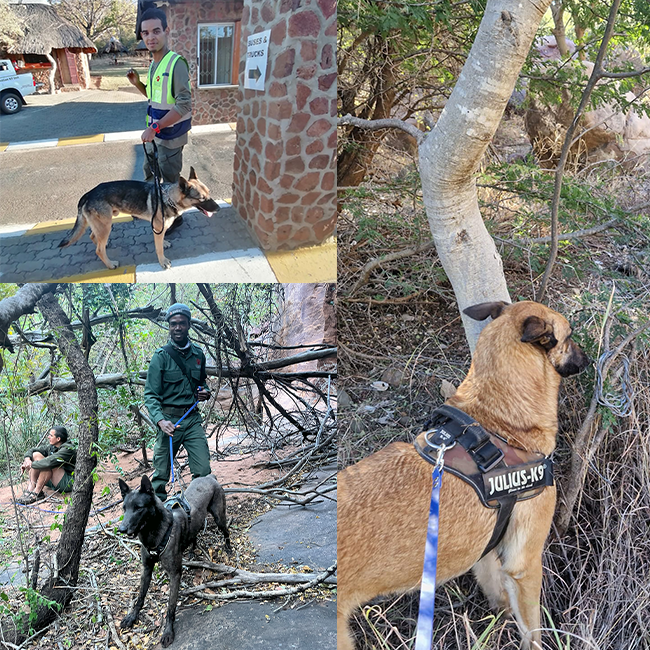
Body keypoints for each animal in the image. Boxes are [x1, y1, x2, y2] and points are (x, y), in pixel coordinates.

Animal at [57, 168, 218, 270]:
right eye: (202, 198)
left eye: (209, 193)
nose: (218, 208)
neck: (168, 197)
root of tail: (88, 194)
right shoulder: (157, 229)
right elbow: (158, 248)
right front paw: (163, 261)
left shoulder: (160, 229)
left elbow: (162, 240)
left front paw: (165, 242)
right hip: (106, 225)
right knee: (98, 250)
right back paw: (110, 264)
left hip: (102, 224)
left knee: (93, 237)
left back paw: (104, 246)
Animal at [119, 474, 230, 644]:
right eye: (124, 508)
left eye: (138, 507)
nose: (121, 529)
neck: (155, 535)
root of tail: (209, 477)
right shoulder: (147, 569)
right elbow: (140, 596)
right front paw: (132, 617)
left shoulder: (174, 574)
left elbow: (171, 606)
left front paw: (168, 631)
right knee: (194, 533)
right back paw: (191, 551)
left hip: (219, 517)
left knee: (226, 531)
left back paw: (228, 548)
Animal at [336, 300, 588, 648]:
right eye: (570, 336)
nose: (588, 358)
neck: (500, 423)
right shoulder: (524, 565)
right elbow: (533, 629)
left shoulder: (487, 552)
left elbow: (499, 594)